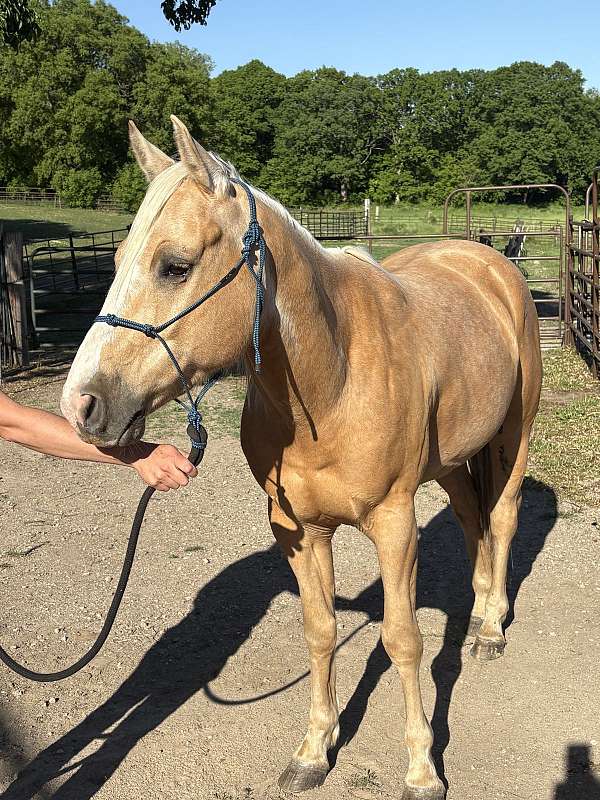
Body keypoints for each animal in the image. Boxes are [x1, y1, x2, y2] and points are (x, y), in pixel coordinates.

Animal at [60, 116, 542, 799]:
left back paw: (493, 629)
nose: (80, 405)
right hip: (452, 461)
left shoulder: (394, 523)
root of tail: (491, 260)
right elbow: (321, 632)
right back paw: (476, 617)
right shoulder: (298, 530)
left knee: (501, 518)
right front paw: (316, 750)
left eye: (175, 266)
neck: (334, 376)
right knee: (474, 521)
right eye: (119, 258)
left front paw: (422, 768)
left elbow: (402, 639)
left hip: (512, 436)